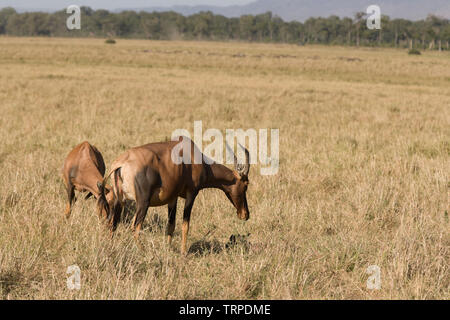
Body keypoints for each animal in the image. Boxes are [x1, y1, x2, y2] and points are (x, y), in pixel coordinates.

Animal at [97, 136, 250, 255]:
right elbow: (185, 224)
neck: (191, 154)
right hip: (143, 203)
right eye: (246, 184)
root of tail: (121, 163)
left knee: (112, 223)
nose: (245, 214)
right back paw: (143, 250)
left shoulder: (172, 198)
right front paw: (183, 252)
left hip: (119, 201)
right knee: (135, 227)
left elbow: (171, 225)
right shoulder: (191, 194)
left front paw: (168, 249)